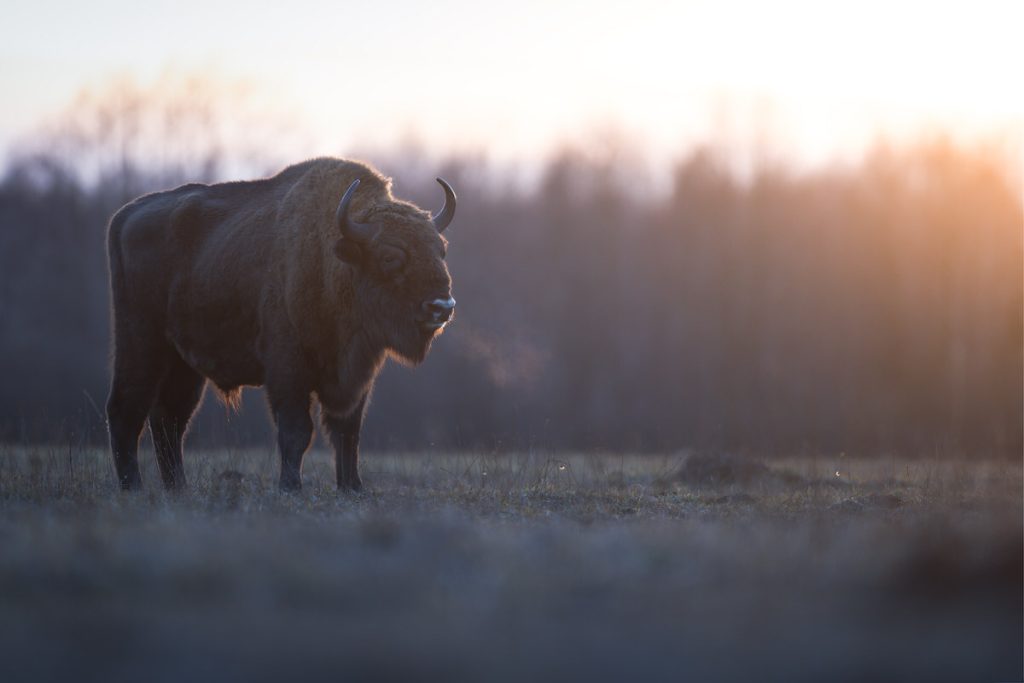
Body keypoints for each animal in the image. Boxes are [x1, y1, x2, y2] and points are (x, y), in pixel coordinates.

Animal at [105, 158, 458, 492]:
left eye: (441, 250)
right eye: (389, 257)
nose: (441, 307)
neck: (333, 263)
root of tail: (125, 215)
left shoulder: (356, 376)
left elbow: (347, 433)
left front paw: (353, 488)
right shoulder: (288, 369)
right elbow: (297, 431)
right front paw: (290, 487)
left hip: (183, 364)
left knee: (170, 418)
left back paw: (178, 489)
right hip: (141, 345)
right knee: (126, 409)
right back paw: (133, 487)